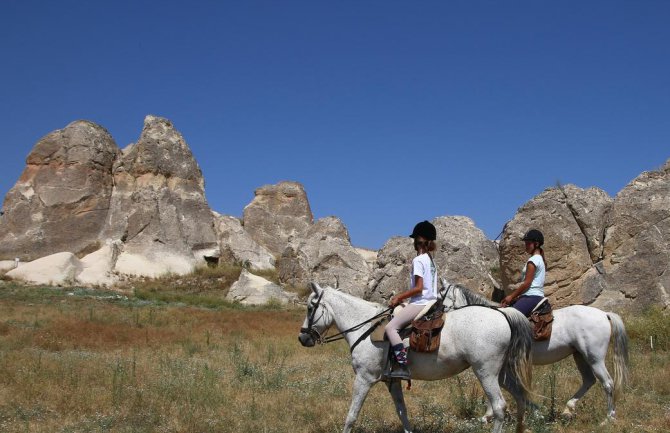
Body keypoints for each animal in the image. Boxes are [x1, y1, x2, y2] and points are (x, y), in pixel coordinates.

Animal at [300, 282, 536, 432]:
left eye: (311, 307)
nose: (302, 338)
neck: (365, 328)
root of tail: (502, 314)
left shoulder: (364, 379)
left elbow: (351, 416)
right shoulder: (393, 381)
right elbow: (402, 413)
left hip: (485, 372)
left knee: (499, 407)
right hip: (501, 374)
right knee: (520, 397)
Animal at [444, 278, 632, 424]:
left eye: (442, 300)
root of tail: (604, 314)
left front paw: (488, 415)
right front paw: (490, 415)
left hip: (595, 357)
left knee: (607, 383)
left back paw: (608, 418)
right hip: (580, 355)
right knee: (589, 380)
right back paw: (568, 409)